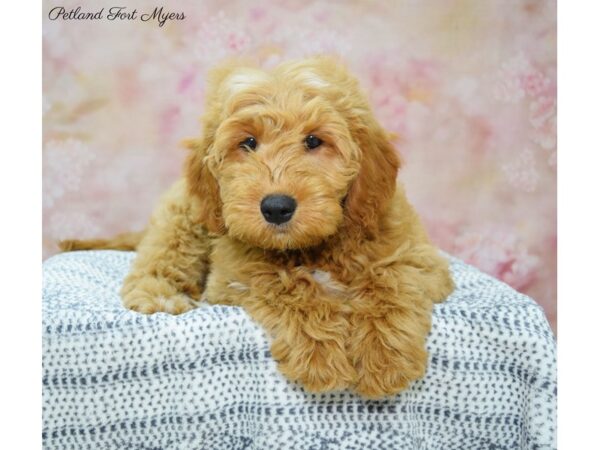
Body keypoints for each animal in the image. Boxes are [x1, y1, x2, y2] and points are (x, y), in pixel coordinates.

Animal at [62, 58, 454, 400]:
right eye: (248, 143)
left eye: (314, 141)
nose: (276, 207)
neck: (311, 246)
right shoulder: (232, 274)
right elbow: (285, 283)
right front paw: (321, 356)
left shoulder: (418, 256)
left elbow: (390, 281)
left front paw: (383, 358)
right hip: (184, 219)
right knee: (157, 259)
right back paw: (159, 296)